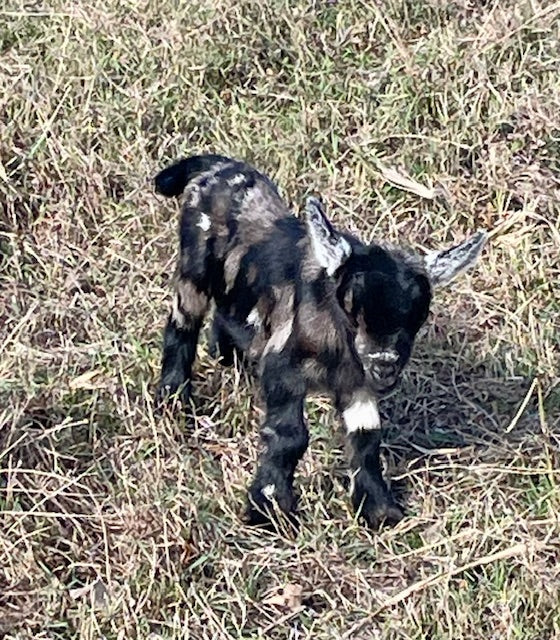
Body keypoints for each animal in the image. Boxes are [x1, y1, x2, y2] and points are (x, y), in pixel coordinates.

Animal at [154, 154, 487, 529]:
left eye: (420, 316)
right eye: (351, 309)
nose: (385, 365)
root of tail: (218, 166)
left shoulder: (357, 382)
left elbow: (366, 437)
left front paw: (379, 510)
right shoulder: (283, 369)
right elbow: (290, 435)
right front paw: (268, 508)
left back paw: (227, 357)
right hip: (194, 267)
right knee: (182, 325)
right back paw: (173, 399)